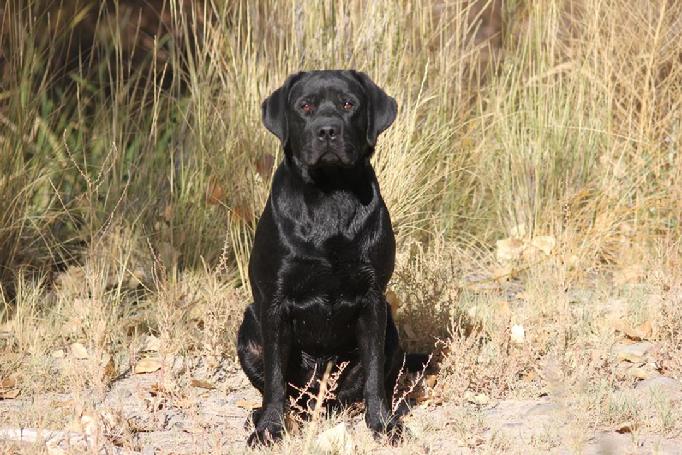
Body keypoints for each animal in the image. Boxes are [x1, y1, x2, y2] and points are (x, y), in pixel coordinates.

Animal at [236, 70, 412, 446]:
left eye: (348, 104)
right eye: (305, 106)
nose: (328, 130)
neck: (330, 196)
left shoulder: (373, 300)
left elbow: (373, 376)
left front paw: (382, 424)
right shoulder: (274, 302)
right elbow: (275, 379)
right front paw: (269, 428)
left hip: (390, 330)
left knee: (346, 393)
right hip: (248, 331)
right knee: (287, 392)